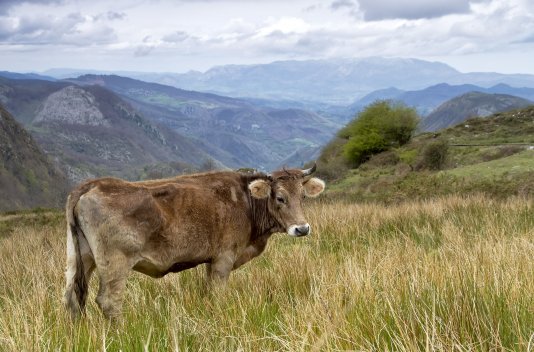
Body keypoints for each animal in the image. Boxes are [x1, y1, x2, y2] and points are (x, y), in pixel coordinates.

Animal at [65, 165, 328, 320]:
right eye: (280, 198)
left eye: (303, 197)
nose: (302, 228)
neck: (246, 201)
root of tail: (92, 184)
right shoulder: (224, 257)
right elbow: (218, 293)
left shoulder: (211, 260)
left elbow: (207, 292)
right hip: (115, 262)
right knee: (109, 301)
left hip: (79, 258)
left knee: (72, 299)